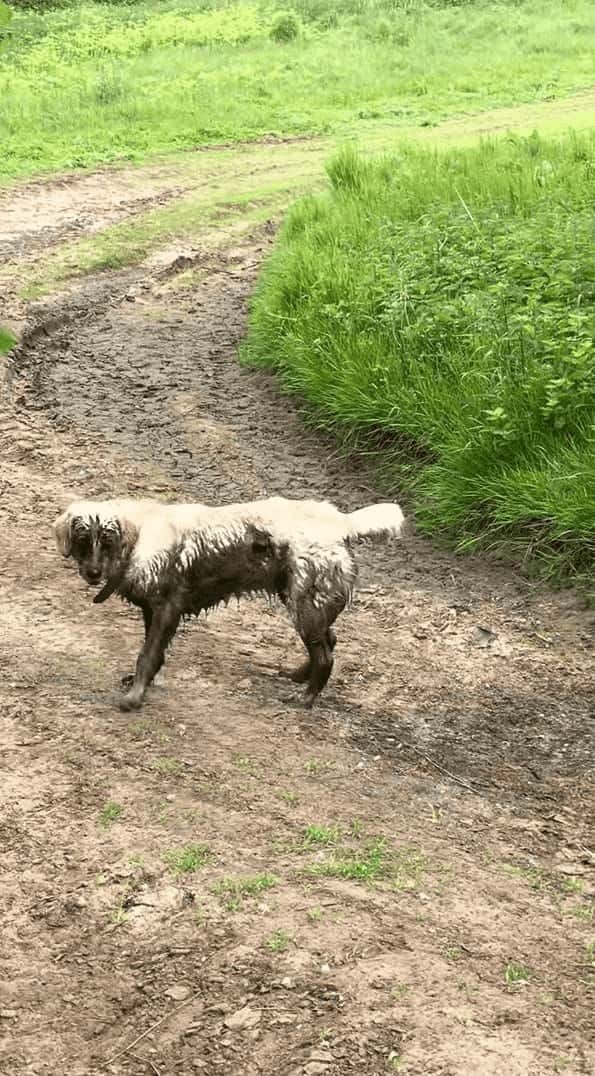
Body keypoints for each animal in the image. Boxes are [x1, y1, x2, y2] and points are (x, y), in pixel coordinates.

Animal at [54, 494, 404, 714]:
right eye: (83, 541)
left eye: (108, 541)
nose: (93, 573)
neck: (140, 539)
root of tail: (340, 522)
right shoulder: (151, 610)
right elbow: (153, 654)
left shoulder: (167, 608)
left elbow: (147, 655)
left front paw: (135, 697)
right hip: (303, 601)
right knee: (329, 641)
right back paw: (298, 677)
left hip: (305, 605)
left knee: (325, 656)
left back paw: (305, 698)